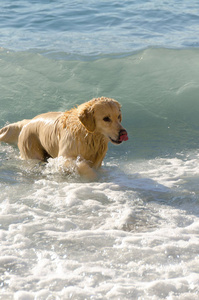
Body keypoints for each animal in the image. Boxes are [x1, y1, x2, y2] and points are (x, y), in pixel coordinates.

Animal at [0, 97, 128, 179]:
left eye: (118, 116)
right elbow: (82, 166)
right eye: (106, 118)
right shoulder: (64, 158)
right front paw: (92, 177)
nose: (123, 133)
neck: (87, 135)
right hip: (31, 150)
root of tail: (28, 121)